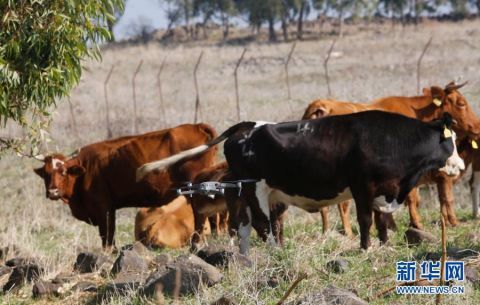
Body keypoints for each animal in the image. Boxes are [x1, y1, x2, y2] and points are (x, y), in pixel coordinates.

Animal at [31, 123, 216, 247]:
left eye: (63, 171)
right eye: (46, 174)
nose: (52, 191)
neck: (85, 169)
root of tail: (197, 126)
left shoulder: (103, 207)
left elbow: (107, 234)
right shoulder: (110, 208)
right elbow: (109, 233)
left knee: (200, 216)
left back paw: (196, 242)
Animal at [138, 111, 464, 252]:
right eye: (452, 142)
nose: (461, 165)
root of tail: (250, 125)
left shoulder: (385, 190)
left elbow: (382, 220)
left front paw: (384, 246)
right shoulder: (362, 187)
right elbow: (366, 220)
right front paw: (366, 248)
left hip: (247, 191)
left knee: (243, 224)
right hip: (256, 187)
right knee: (262, 224)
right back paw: (276, 251)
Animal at [304, 82, 480, 229]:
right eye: (461, 103)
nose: (478, 126)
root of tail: (322, 106)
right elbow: (419, 198)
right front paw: (420, 224)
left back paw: (327, 233)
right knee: (343, 205)